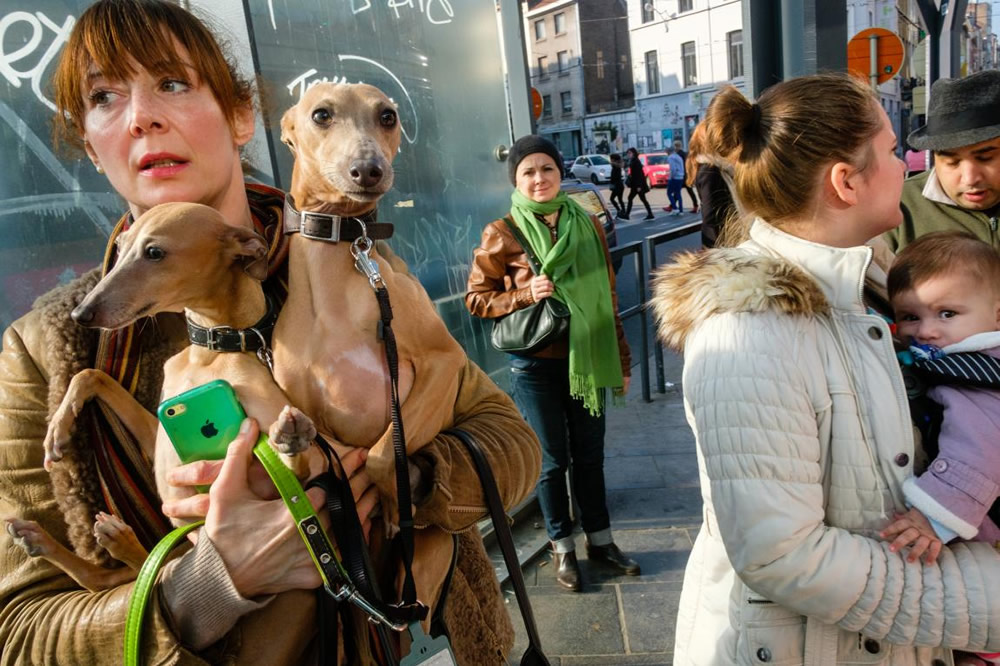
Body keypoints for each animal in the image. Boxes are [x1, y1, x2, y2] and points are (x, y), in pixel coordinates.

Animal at [6, 202, 316, 592]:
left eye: (154, 252)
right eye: (120, 247)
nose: (81, 314)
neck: (212, 348)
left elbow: (300, 476)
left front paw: (290, 439)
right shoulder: (161, 435)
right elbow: (91, 374)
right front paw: (58, 427)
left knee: (118, 574)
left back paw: (110, 539)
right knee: (110, 577)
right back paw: (55, 539)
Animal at [276, 84, 466, 624]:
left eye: (388, 116)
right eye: (321, 114)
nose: (369, 170)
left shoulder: (446, 362)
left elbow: (384, 457)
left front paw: (396, 510)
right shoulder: (313, 424)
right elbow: (304, 469)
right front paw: (287, 439)